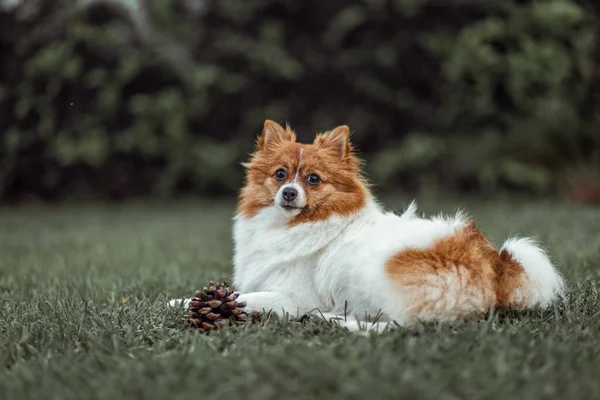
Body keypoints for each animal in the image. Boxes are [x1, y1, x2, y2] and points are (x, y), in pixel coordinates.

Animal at [171, 121, 564, 332]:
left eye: (313, 179)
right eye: (280, 174)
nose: (288, 192)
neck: (292, 224)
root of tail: (498, 266)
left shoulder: (293, 296)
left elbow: (248, 298)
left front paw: (185, 302)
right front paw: (196, 300)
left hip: (378, 268)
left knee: (402, 326)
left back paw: (338, 322)